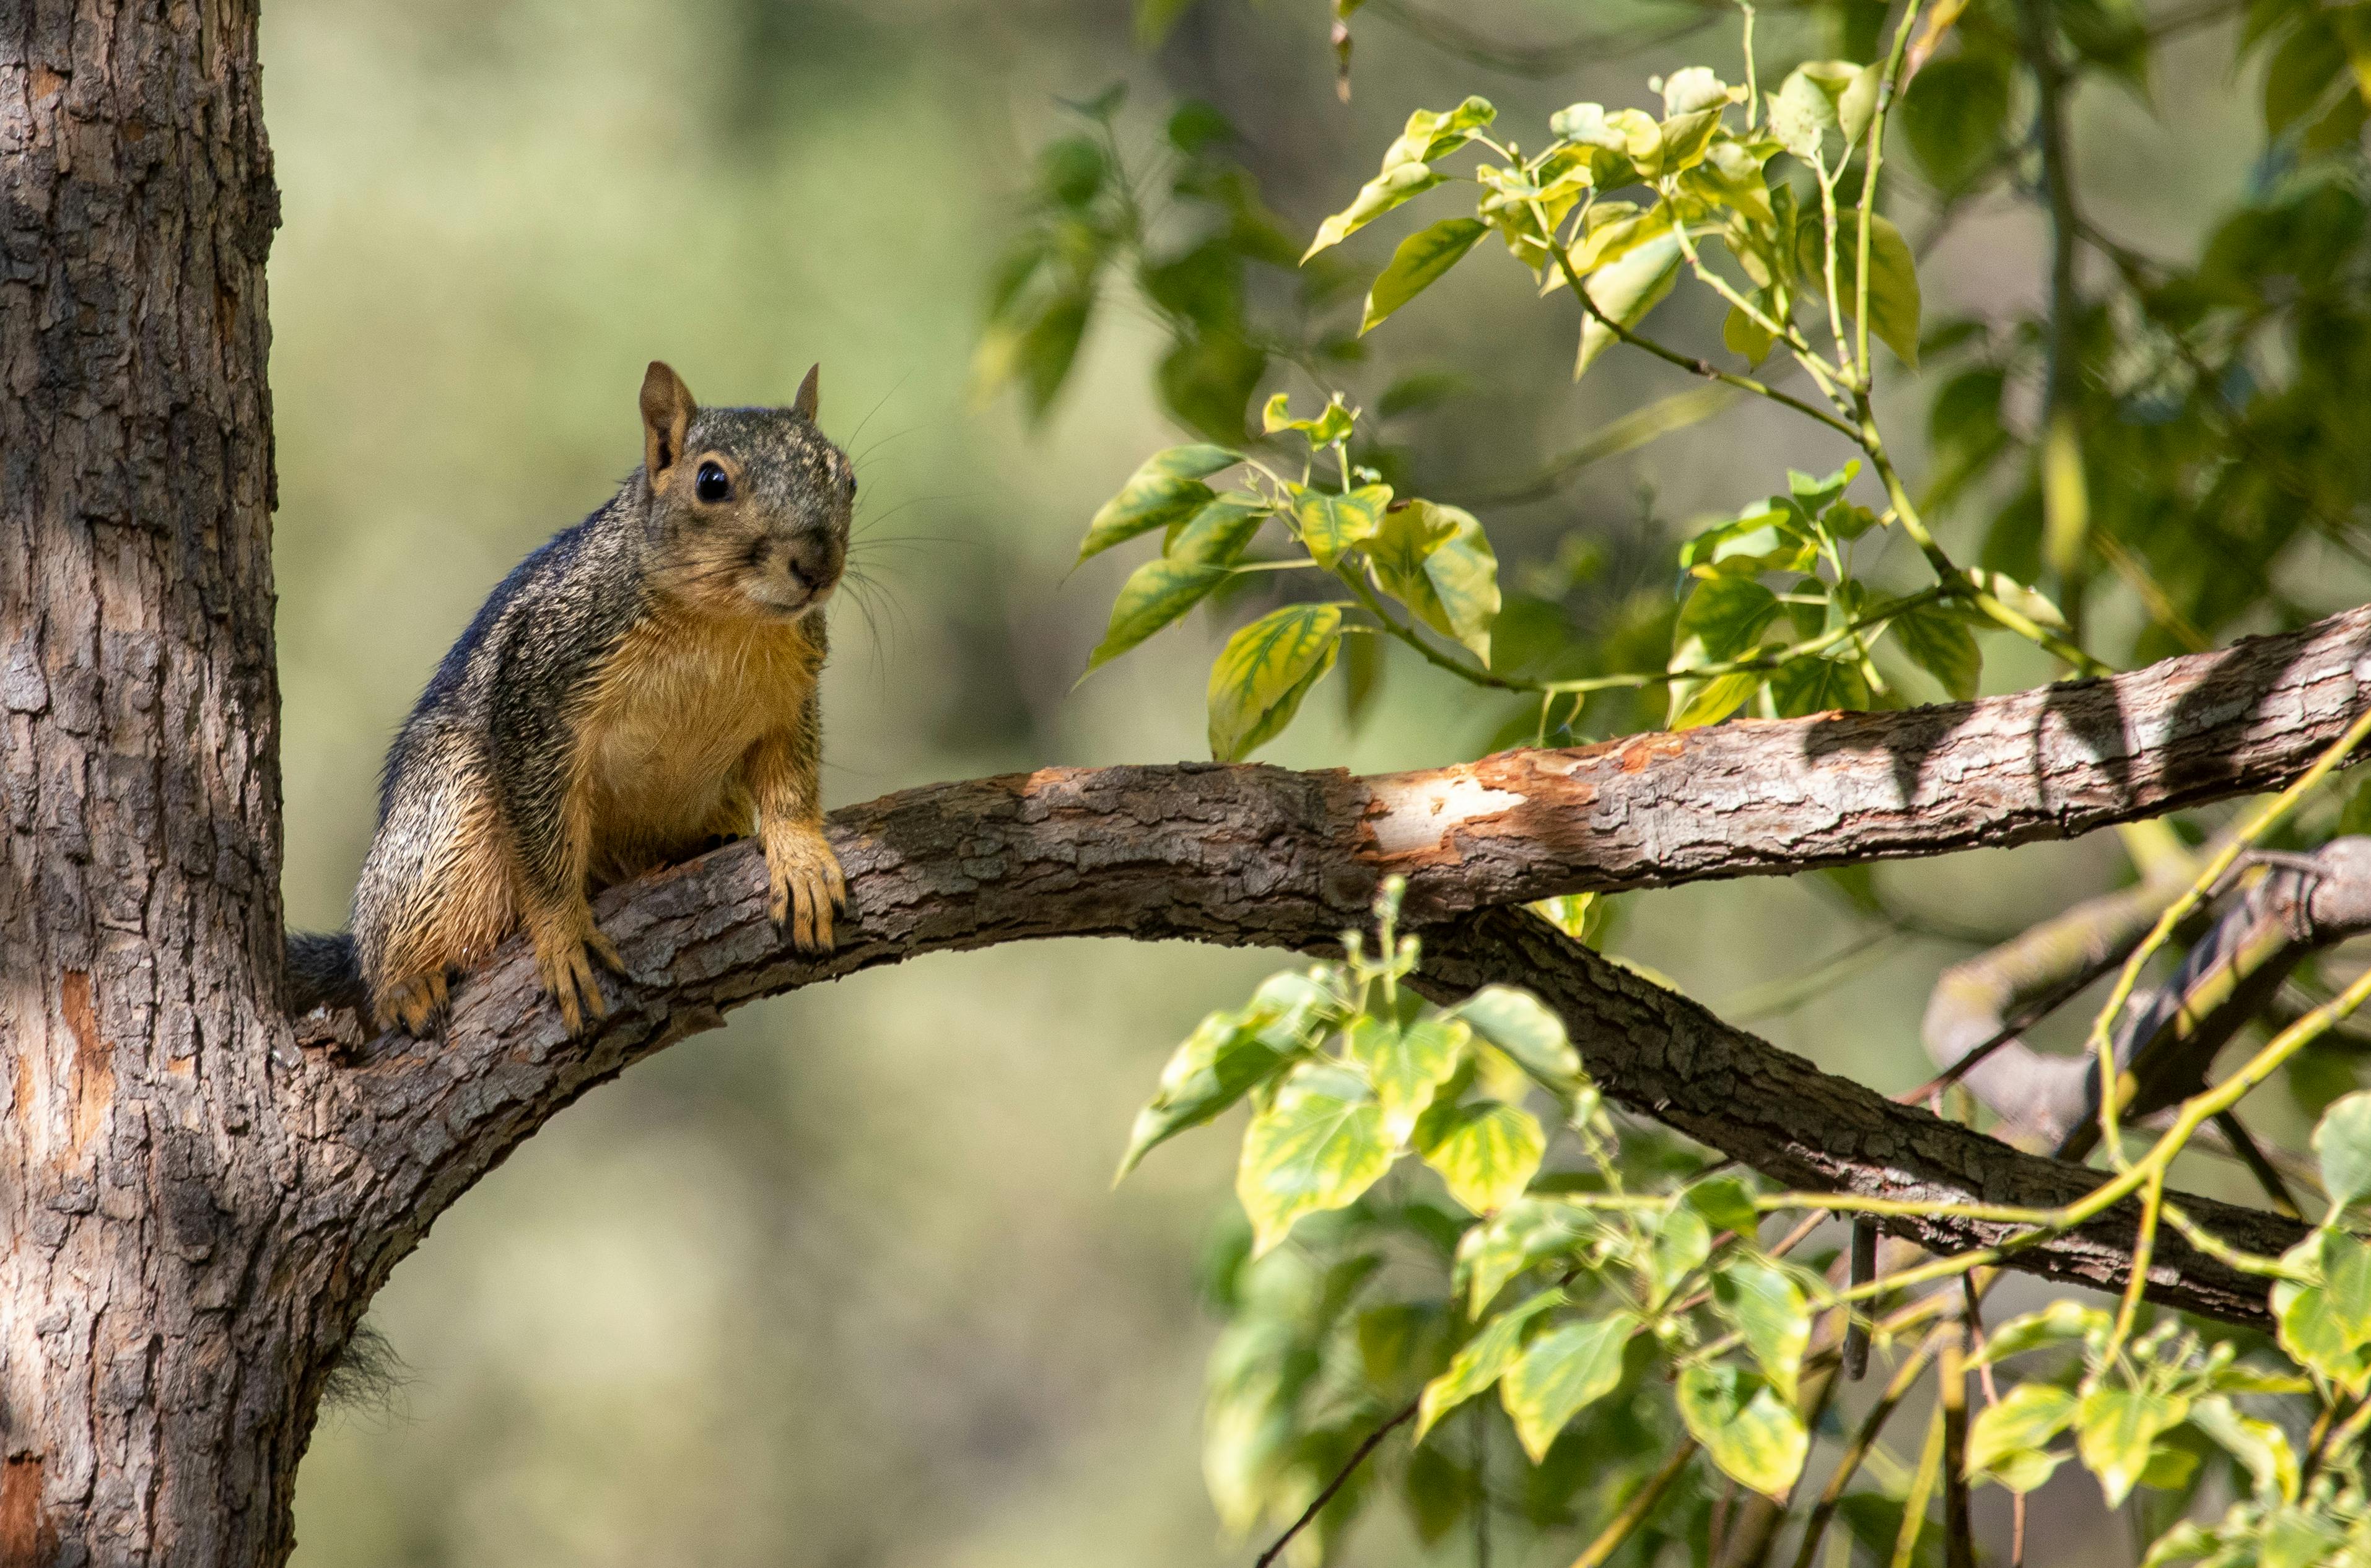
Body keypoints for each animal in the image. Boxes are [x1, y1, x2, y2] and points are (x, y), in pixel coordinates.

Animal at [289, 360, 854, 1034]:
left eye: (849, 478)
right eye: (711, 482)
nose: (817, 566)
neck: (721, 624)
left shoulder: (792, 694)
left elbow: (791, 784)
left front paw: (802, 858)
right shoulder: (538, 688)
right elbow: (543, 844)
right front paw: (563, 933)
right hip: (449, 817)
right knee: (398, 931)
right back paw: (406, 981)